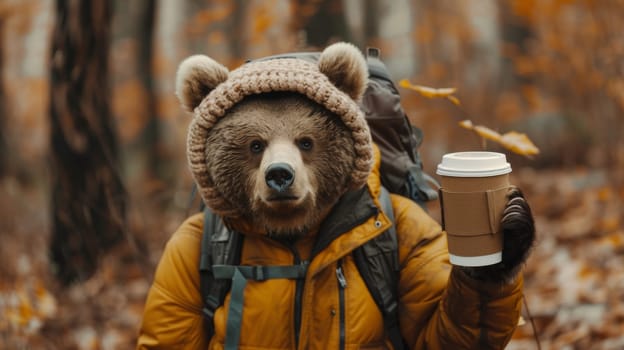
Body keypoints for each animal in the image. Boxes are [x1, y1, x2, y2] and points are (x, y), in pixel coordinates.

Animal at [138, 43, 536, 350]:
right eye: (255, 144)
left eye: (306, 141)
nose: (280, 175)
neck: (293, 233)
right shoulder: (183, 249)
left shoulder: (408, 224)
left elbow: (434, 330)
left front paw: (506, 247)